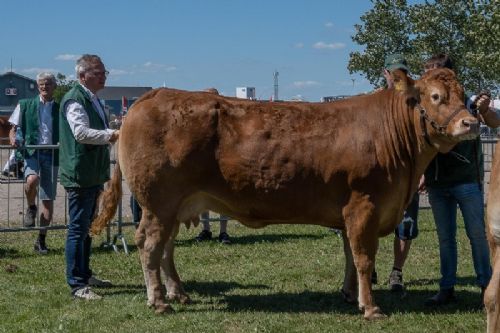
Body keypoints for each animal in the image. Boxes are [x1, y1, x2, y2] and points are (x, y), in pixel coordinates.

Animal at [92, 67, 478, 316]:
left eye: (466, 96)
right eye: (436, 96)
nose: (471, 123)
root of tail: (150, 96)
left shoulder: (350, 210)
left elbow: (348, 255)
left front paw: (348, 294)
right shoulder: (364, 205)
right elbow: (364, 257)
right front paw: (370, 307)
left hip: (175, 206)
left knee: (166, 248)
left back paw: (178, 294)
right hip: (158, 203)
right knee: (150, 245)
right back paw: (158, 301)